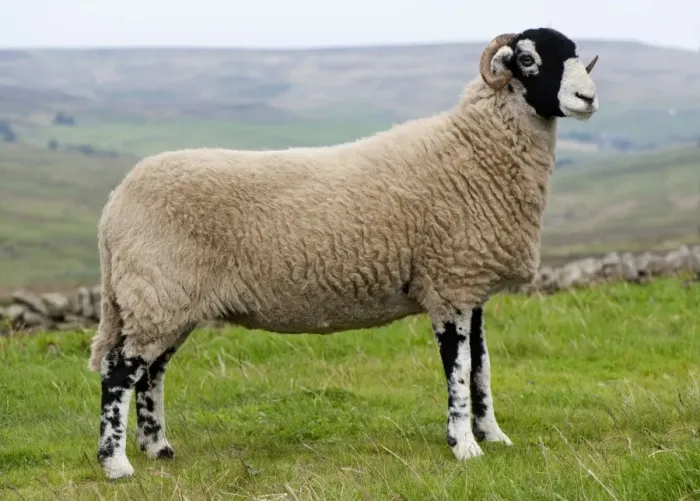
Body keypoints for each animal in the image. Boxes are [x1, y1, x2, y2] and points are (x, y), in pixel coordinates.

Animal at [88, 27, 600, 479]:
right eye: (528, 59)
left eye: (577, 55)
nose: (588, 99)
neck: (473, 150)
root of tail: (114, 205)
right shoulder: (448, 285)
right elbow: (458, 370)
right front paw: (464, 447)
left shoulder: (470, 288)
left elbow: (482, 368)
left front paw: (493, 436)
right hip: (156, 290)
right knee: (119, 370)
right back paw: (116, 464)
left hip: (166, 300)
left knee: (151, 372)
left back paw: (158, 448)